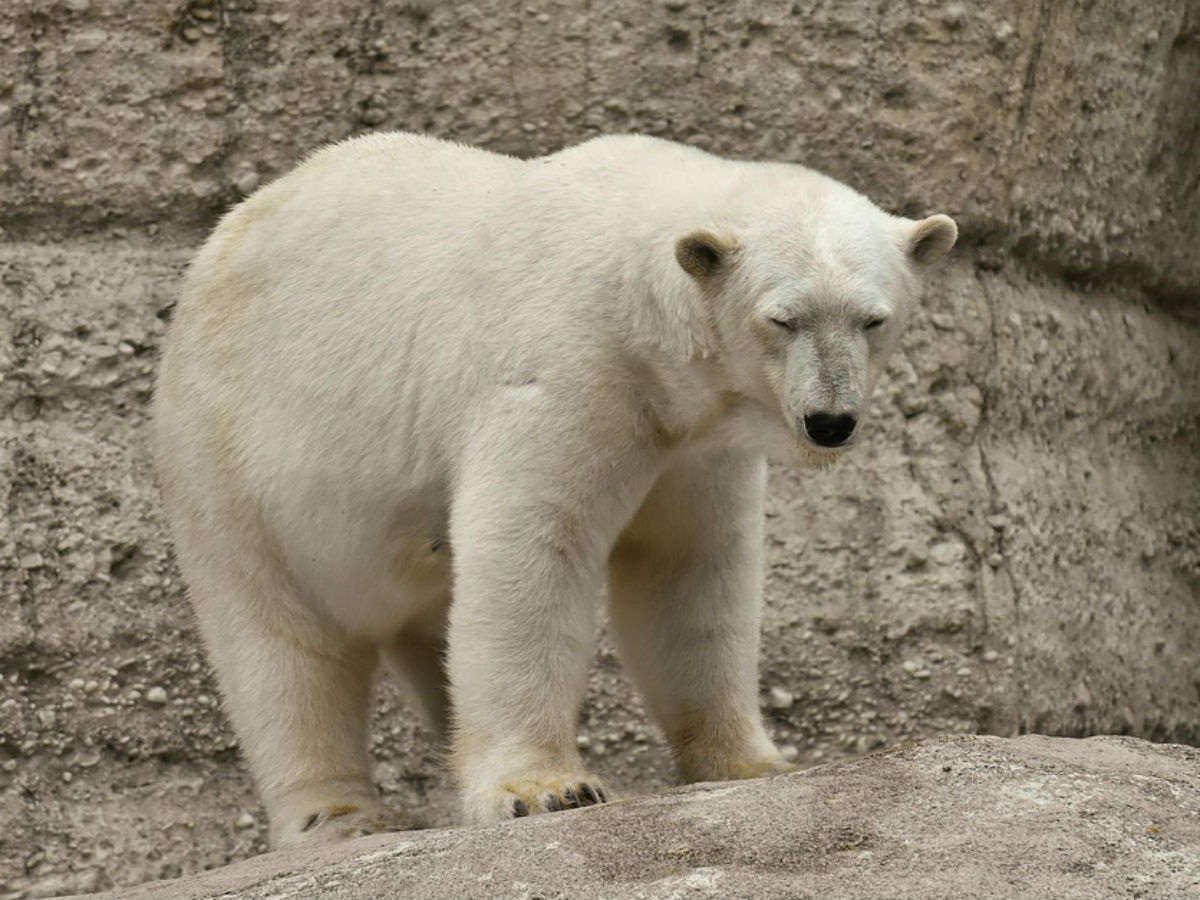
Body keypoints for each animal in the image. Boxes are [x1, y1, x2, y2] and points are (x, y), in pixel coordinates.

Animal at [152, 130, 955, 849]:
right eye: (782, 319)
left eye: (872, 319)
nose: (831, 421)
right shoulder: (565, 368)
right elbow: (532, 547)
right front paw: (547, 788)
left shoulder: (693, 445)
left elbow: (686, 572)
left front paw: (755, 763)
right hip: (232, 460)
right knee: (279, 643)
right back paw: (340, 815)